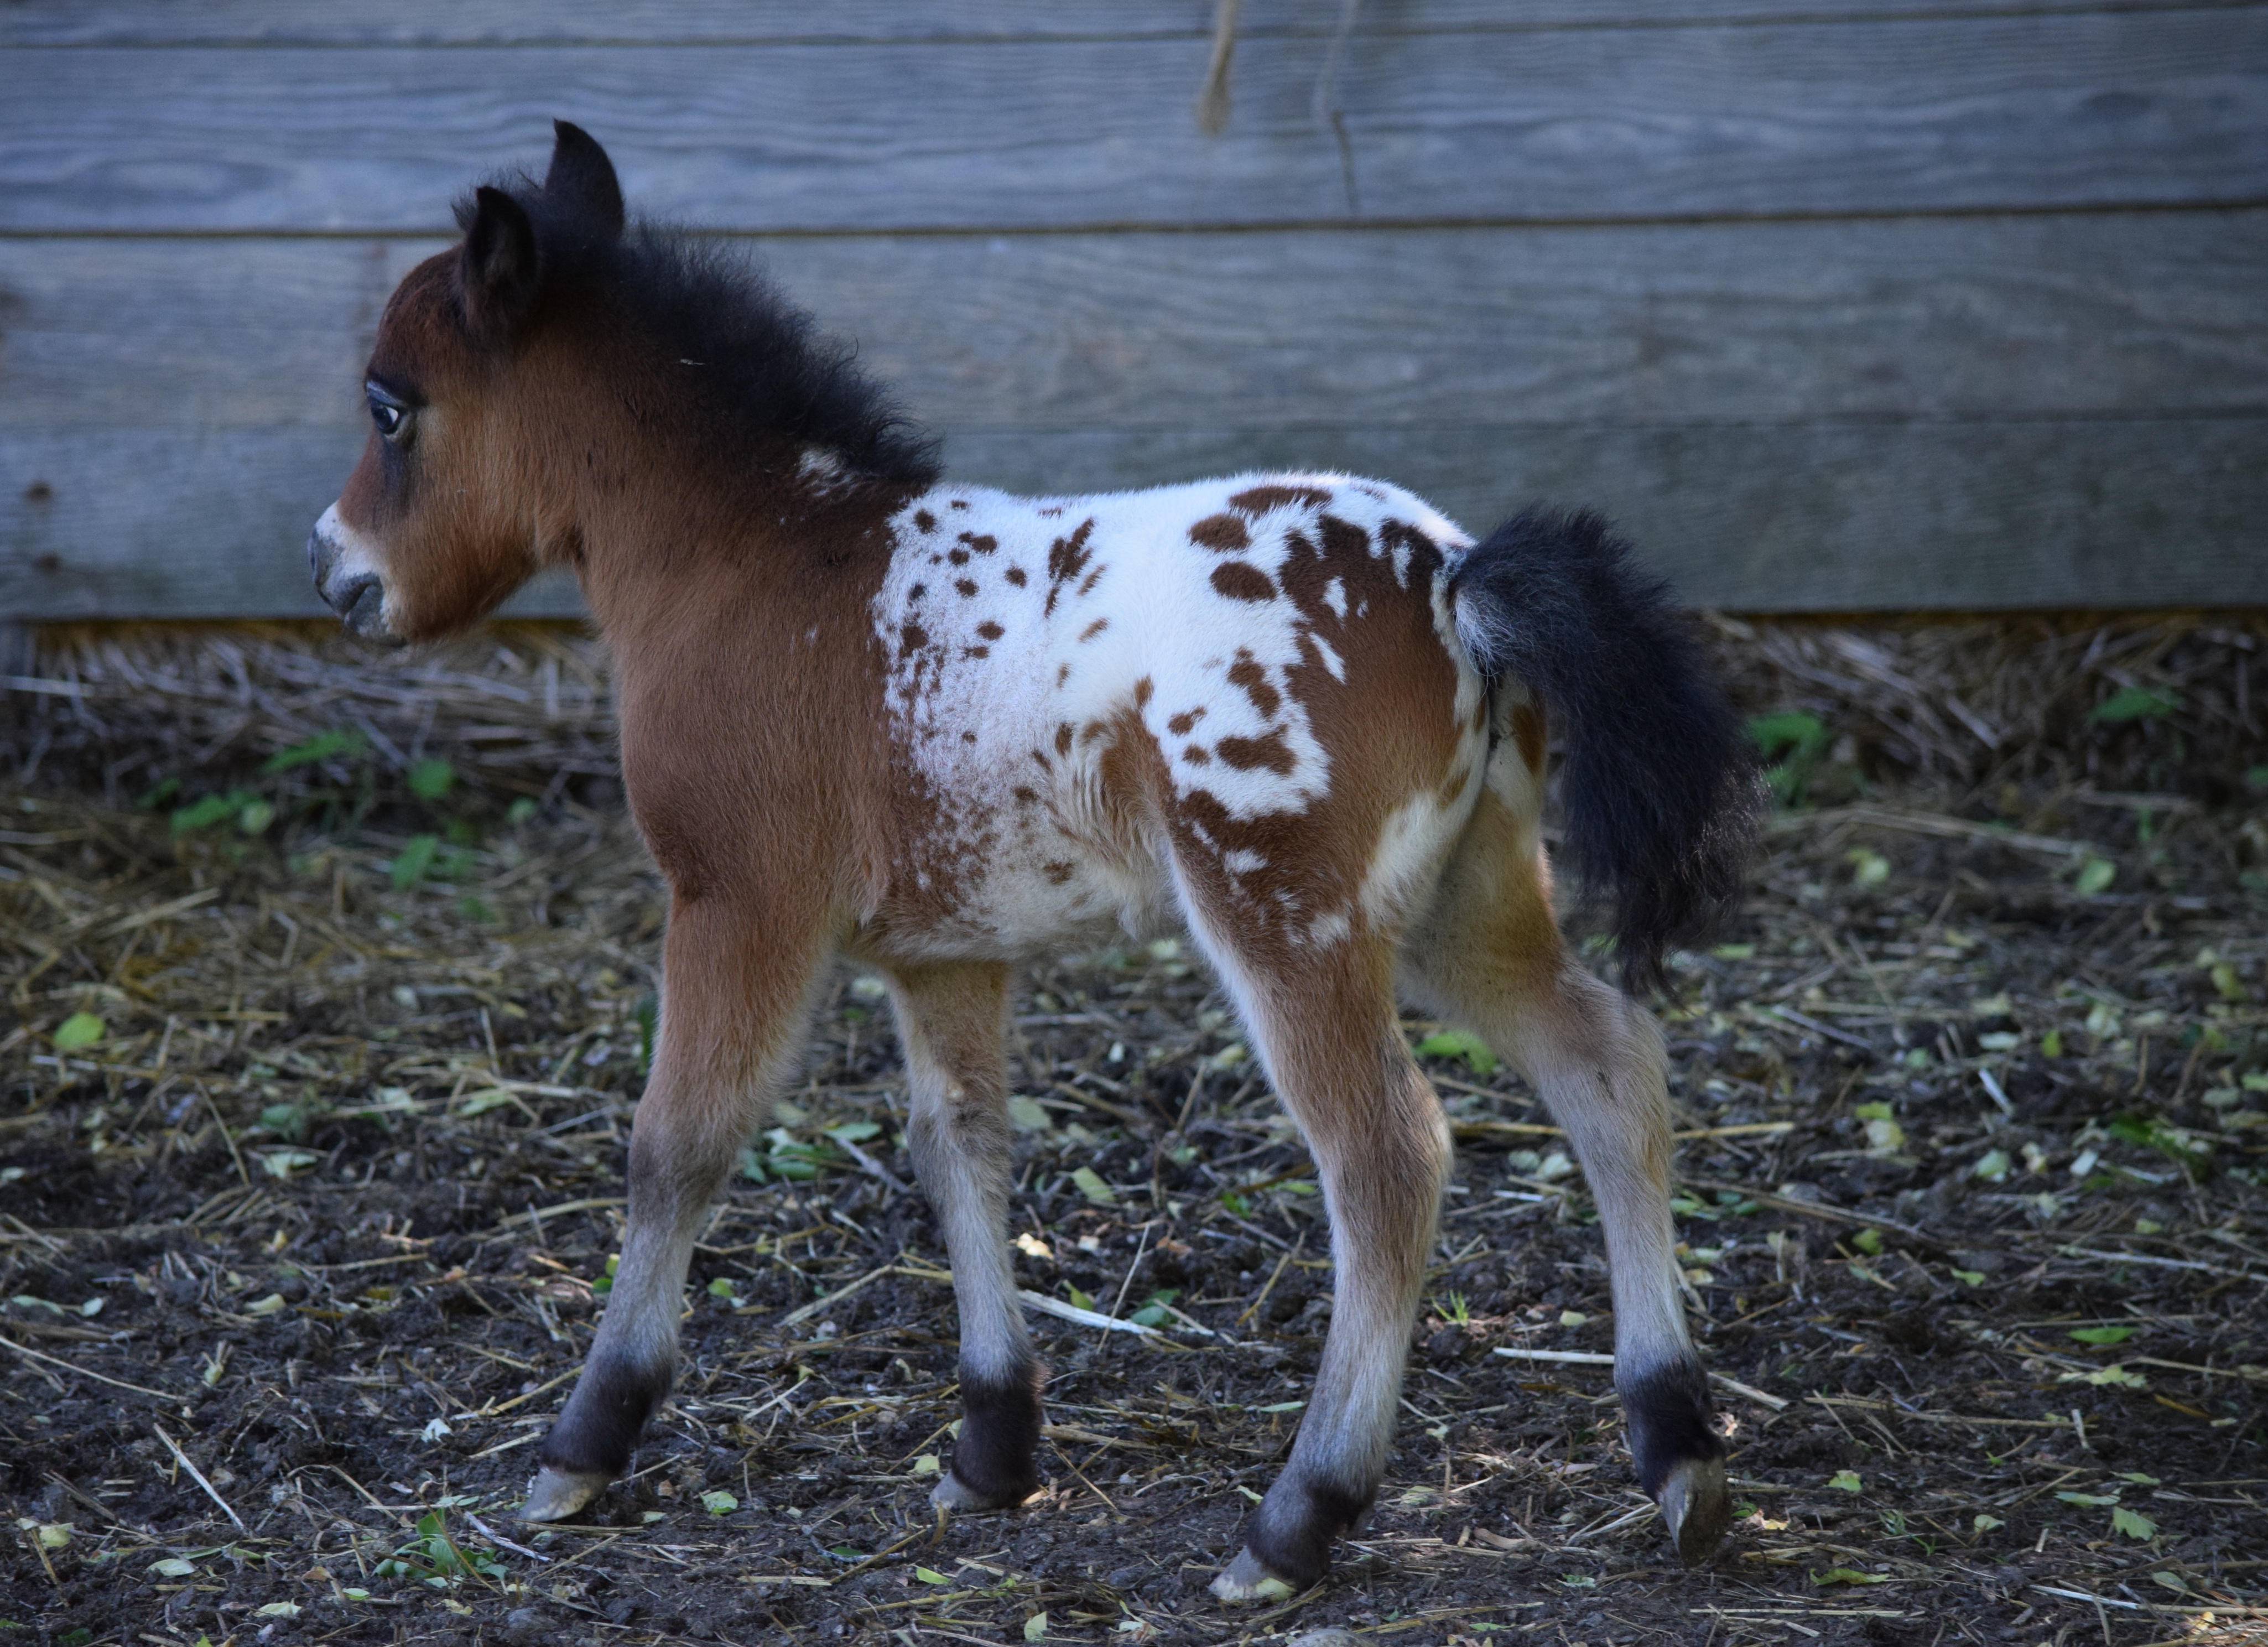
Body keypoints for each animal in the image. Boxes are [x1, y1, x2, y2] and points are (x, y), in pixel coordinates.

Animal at [306, 122, 1751, 1606]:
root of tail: (1458, 579)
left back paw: (1298, 1516)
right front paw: (992, 1445)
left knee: (1385, 1159)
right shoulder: (944, 949)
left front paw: (582, 1444)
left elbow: (678, 1145)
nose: (336, 574)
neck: (758, 564)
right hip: (1465, 898)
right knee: (1605, 1067)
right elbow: (963, 1148)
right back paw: (1677, 1447)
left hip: (1288, 916)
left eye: (389, 406)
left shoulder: (734, 901)